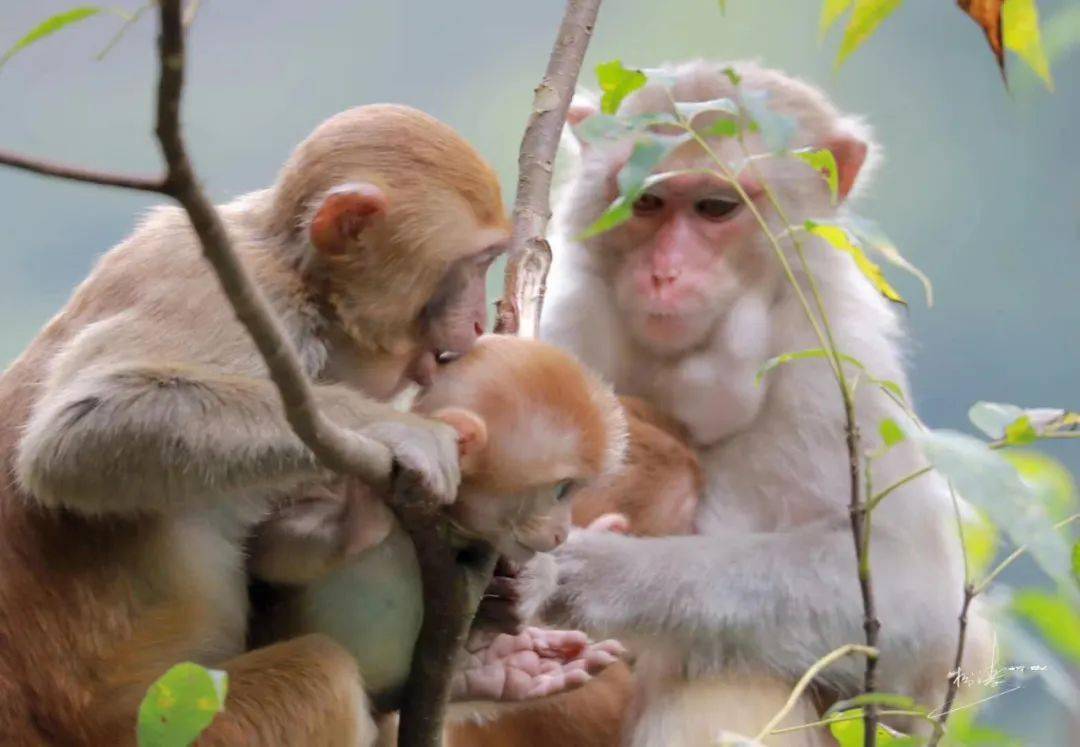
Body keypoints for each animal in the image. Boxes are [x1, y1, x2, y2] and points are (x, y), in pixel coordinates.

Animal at [0, 105, 511, 747]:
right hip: (166, 725)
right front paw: (397, 430)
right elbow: (78, 434)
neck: (300, 280)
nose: (477, 322)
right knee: (323, 674)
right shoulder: (234, 297)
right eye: (476, 264)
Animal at [518, 59, 989, 747]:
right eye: (646, 202)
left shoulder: (837, 373)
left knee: (729, 675)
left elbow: (918, 608)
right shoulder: (563, 333)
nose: (664, 273)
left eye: (716, 208)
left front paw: (580, 573)